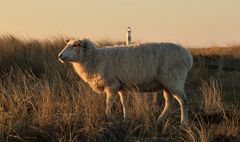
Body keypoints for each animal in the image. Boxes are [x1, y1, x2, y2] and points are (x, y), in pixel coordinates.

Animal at [58, 38, 193, 125]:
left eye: (75, 45)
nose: (60, 56)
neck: (94, 58)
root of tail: (188, 56)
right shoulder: (121, 86)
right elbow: (124, 103)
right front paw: (125, 119)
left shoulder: (112, 85)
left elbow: (109, 103)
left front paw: (108, 117)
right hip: (167, 82)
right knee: (169, 102)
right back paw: (159, 120)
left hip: (174, 79)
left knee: (183, 100)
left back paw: (183, 123)